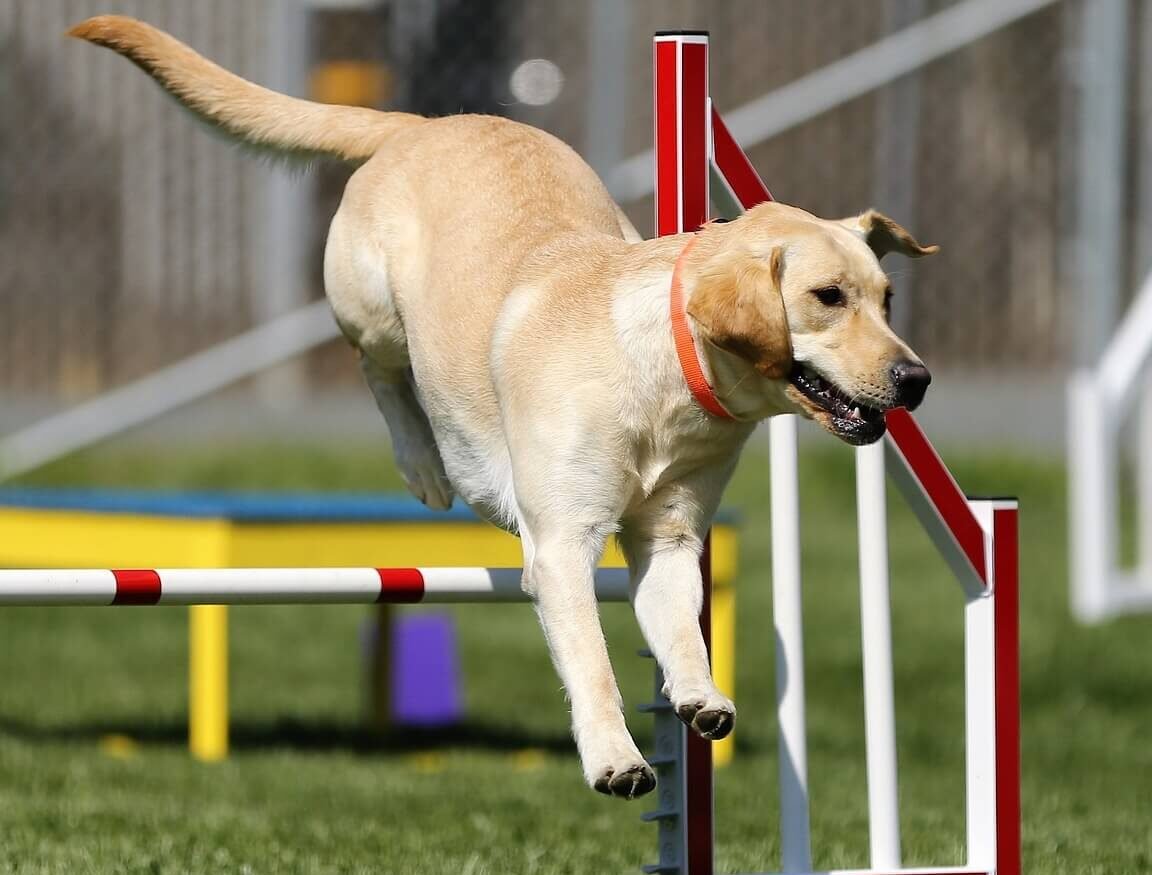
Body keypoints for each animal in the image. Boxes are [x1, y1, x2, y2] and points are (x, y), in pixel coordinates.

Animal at [72, 17, 935, 801]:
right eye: (827, 297)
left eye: (887, 297)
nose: (917, 378)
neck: (665, 375)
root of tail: (424, 123)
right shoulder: (561, 546)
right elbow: (592, 662)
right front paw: (617, 760)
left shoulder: (669, 537)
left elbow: (685, 632)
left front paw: (699, 697)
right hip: (370, 306)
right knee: (380, 370)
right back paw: (424, 465)